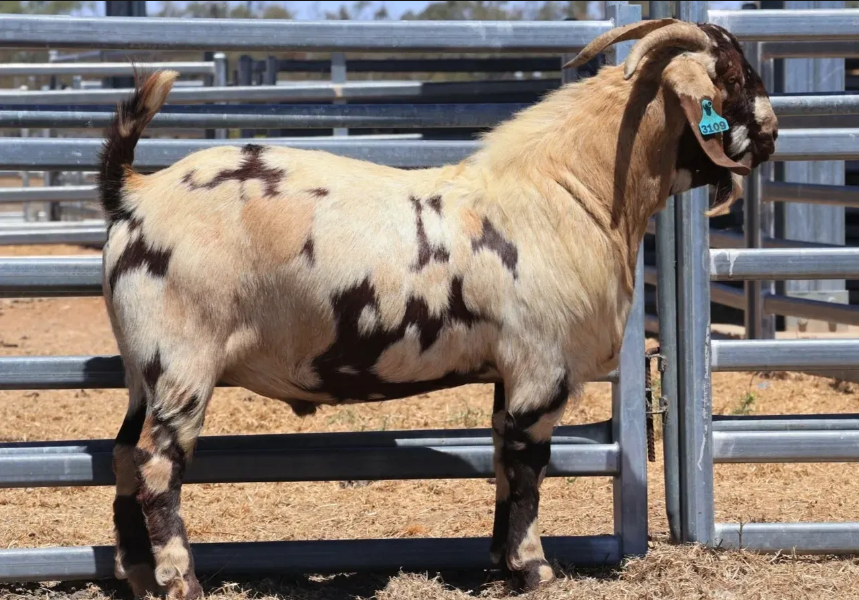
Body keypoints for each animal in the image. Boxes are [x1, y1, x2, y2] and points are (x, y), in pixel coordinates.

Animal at [98, 18, 777, 599]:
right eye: (731, 75)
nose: (772, 133)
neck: (566, 190)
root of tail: (137, 193)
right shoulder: (541, 371)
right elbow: (529, 471)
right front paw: (534, 569)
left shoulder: (511, 372)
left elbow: (503, 462)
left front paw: (503, 566)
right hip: (181, 361)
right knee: (157, 466)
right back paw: (182, 582)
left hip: (142, 369)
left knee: (123, 457)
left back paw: (138, 576)